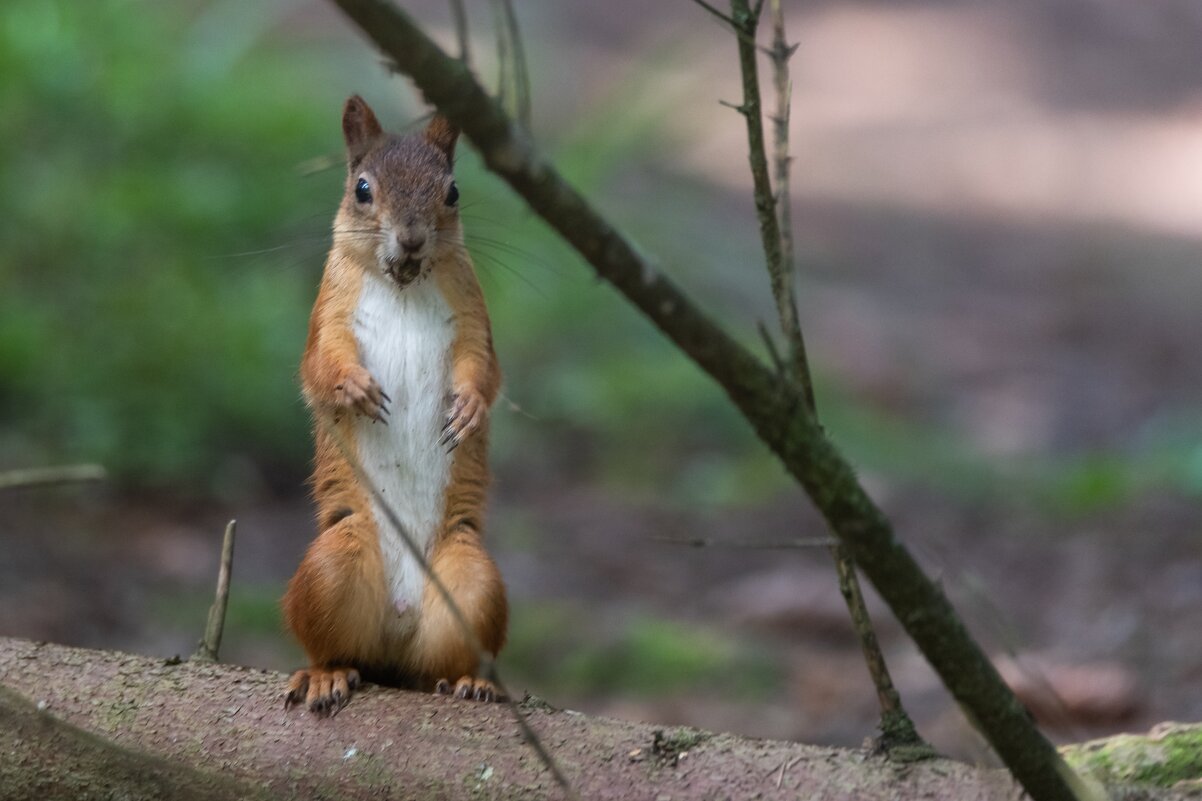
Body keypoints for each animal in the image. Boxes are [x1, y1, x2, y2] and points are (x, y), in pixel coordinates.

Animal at [282, 93, 507, 712]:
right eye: (362, 189)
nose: (411, 239)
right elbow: (321, 366)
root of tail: (398, 632)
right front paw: (354, 389)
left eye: (452, 192)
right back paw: (325, 674)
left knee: (452, 655)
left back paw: (473, 682)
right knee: (330, 645)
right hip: (333, 567)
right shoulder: (329, 312)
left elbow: (484, 369)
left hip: (472, 583)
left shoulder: (473, 314)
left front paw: (470, 408)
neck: (404, 284)